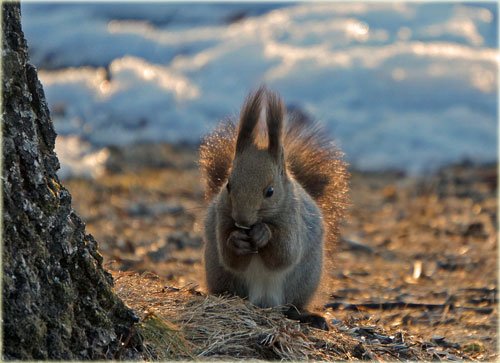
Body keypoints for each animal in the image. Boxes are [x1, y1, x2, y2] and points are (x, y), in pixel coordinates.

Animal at [198, 86, 348, 332]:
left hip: (303, 281)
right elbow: (231, 258)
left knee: (293, 306)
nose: (242, 221)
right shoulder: (222, 217)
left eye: (270, 191)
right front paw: (236, 240)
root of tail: (264, 302)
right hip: (222, 276)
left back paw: (307, 316)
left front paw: (263, 234)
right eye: (228, 185)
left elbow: (285, 254)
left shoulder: (294, 220)